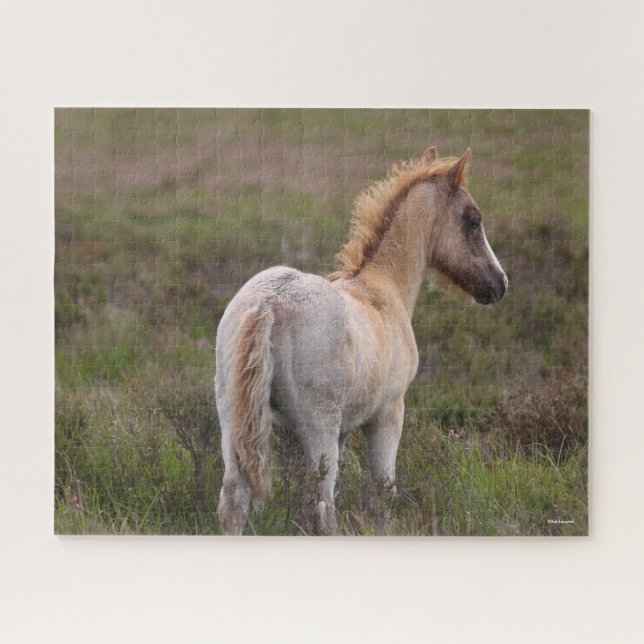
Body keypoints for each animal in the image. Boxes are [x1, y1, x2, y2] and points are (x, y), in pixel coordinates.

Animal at [215, 146, 508, 535]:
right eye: (473, 220)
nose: (499, 283)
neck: (381, 288)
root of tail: (270, 303)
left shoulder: (341, 431)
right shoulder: (389, 413)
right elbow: (384, 491)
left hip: (233, 420)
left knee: (234, 500)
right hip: (318, 425)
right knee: (322, 509)